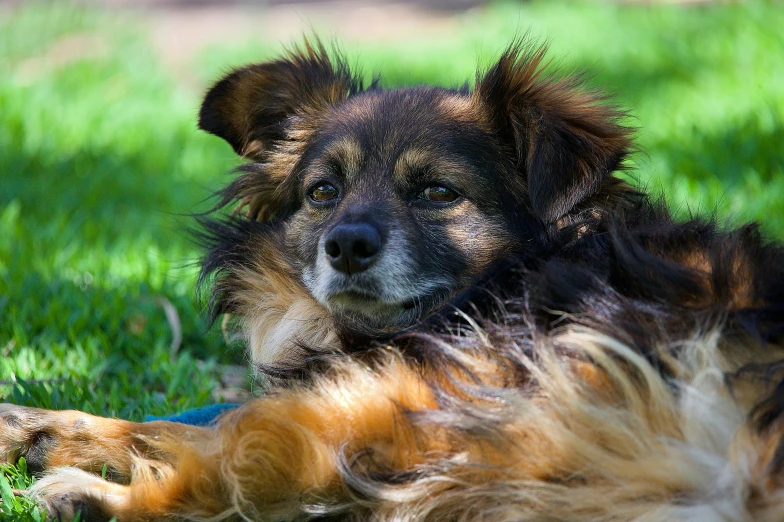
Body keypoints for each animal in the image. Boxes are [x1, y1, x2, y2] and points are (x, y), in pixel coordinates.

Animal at [1, 40, 784, 520]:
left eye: (438, 193)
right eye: (323, 192)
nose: (346, 245)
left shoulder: (428, 387)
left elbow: (220, 437)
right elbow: (184, 422)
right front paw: (36, 426)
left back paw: (92, 499)